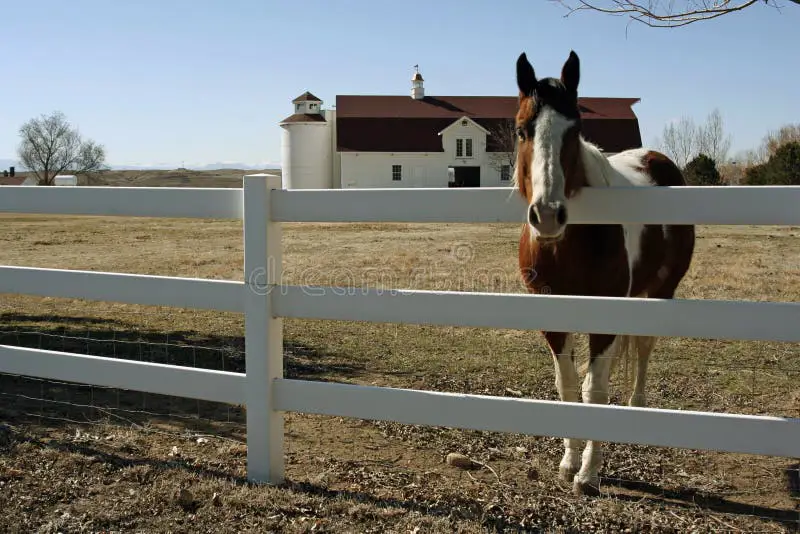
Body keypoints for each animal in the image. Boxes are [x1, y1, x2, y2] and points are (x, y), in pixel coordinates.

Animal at [512, 51, 692, 498]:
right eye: (523, 130)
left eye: (574, 130)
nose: (547, 215)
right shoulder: (553, 320)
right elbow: (567, 387)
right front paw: (567, 462)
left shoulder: (605, 319)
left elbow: (594, 391)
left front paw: (589, 474)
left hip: (658, 294)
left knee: (643, 349)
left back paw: (636, 410)